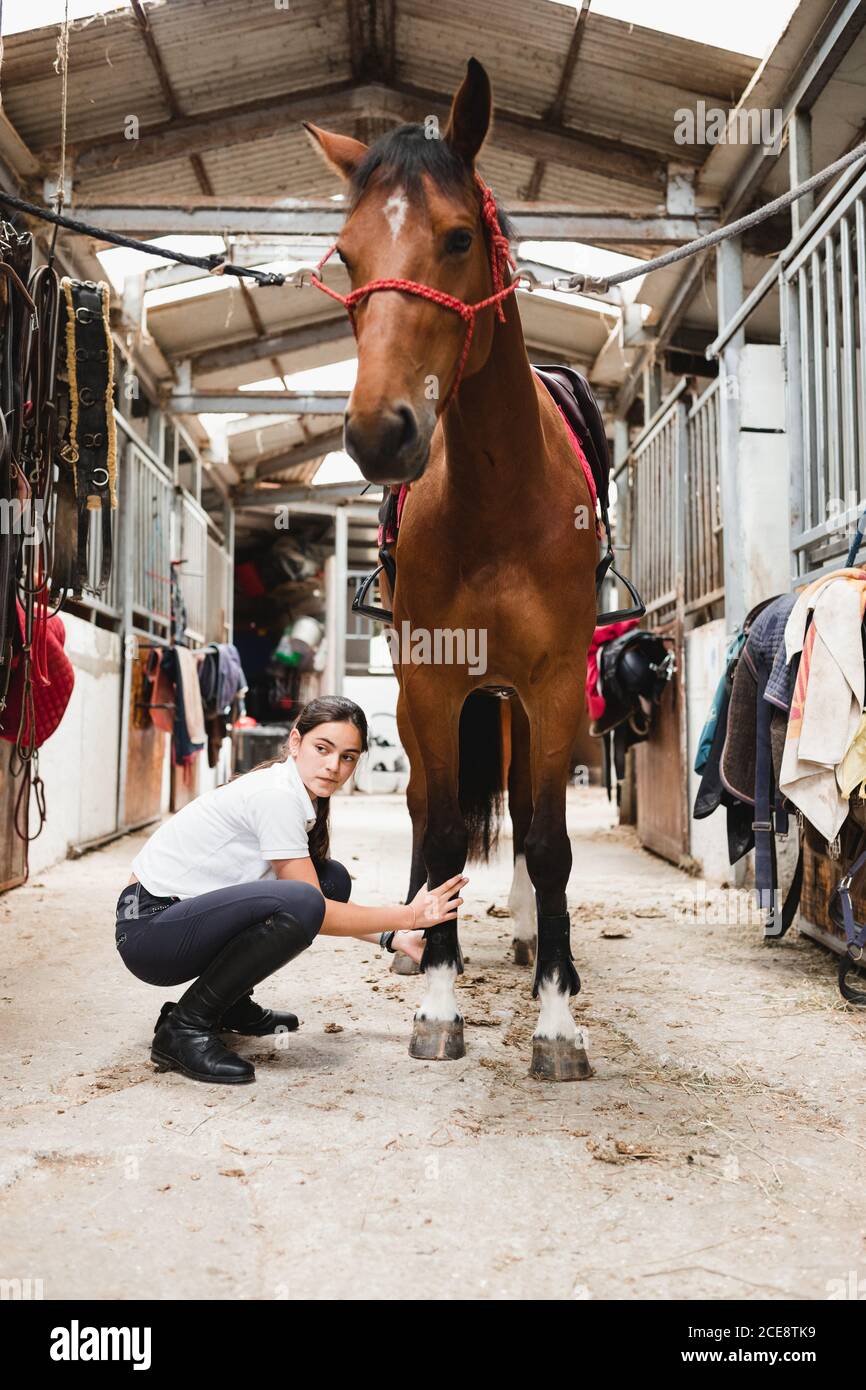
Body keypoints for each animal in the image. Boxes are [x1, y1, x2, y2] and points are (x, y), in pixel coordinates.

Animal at [304, 57, 599, 1080]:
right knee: (431, 804)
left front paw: (557, 1019)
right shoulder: (430, 685)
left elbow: (549, 841)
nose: (377, 433)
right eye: (348, 260)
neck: (499, 496)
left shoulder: (553, 682)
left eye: (459, 237)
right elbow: (436, 823)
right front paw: (437, 995)